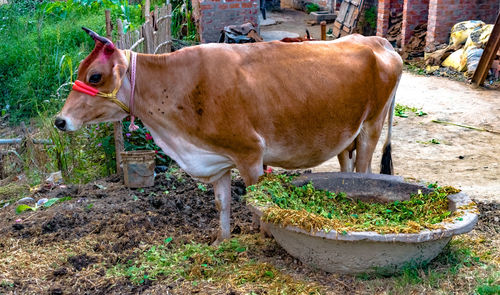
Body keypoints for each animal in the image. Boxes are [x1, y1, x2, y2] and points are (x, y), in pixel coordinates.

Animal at [55, 28, 402, 244]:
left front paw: (266, 237)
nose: (60, 120)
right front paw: (220, 240)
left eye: (95, 76)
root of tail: (379, 42)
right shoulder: (217, 159)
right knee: (348, 166)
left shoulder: (251, 155)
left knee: (363, 170)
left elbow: (260, 204)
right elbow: (222, 203)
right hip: (346, 134)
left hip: (372, 125)